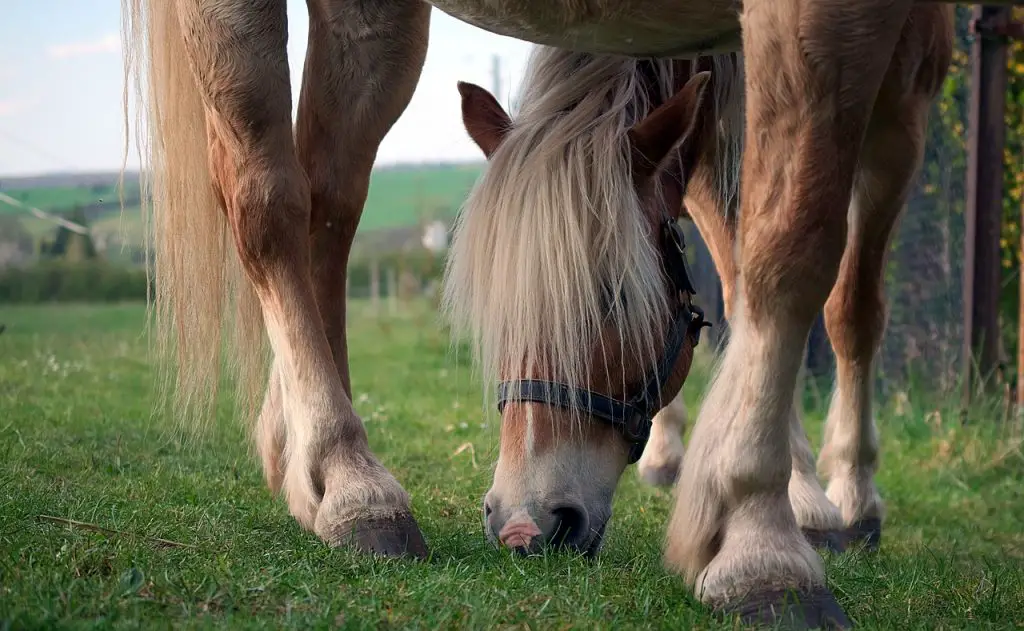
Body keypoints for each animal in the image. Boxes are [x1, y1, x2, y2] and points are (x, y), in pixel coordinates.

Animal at [121, 0, 966, 626]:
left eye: (619, 297)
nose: (527, 525)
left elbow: (781, 271)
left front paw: (808, 490)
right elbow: (797, 253)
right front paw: (765, 539)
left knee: (328, 198)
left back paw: (302, 465)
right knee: (268, 201)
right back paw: (348, 476)